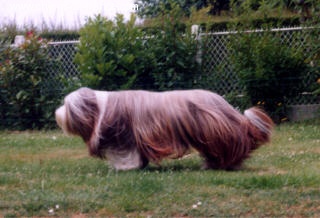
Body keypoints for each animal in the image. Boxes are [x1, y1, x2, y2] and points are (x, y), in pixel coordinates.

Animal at [54, 87, 272, 171]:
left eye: (67, 105)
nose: (57, 112)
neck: (100, 108)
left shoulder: (125, 136)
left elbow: (127, 154)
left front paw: (125, 167)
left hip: (216, 132)